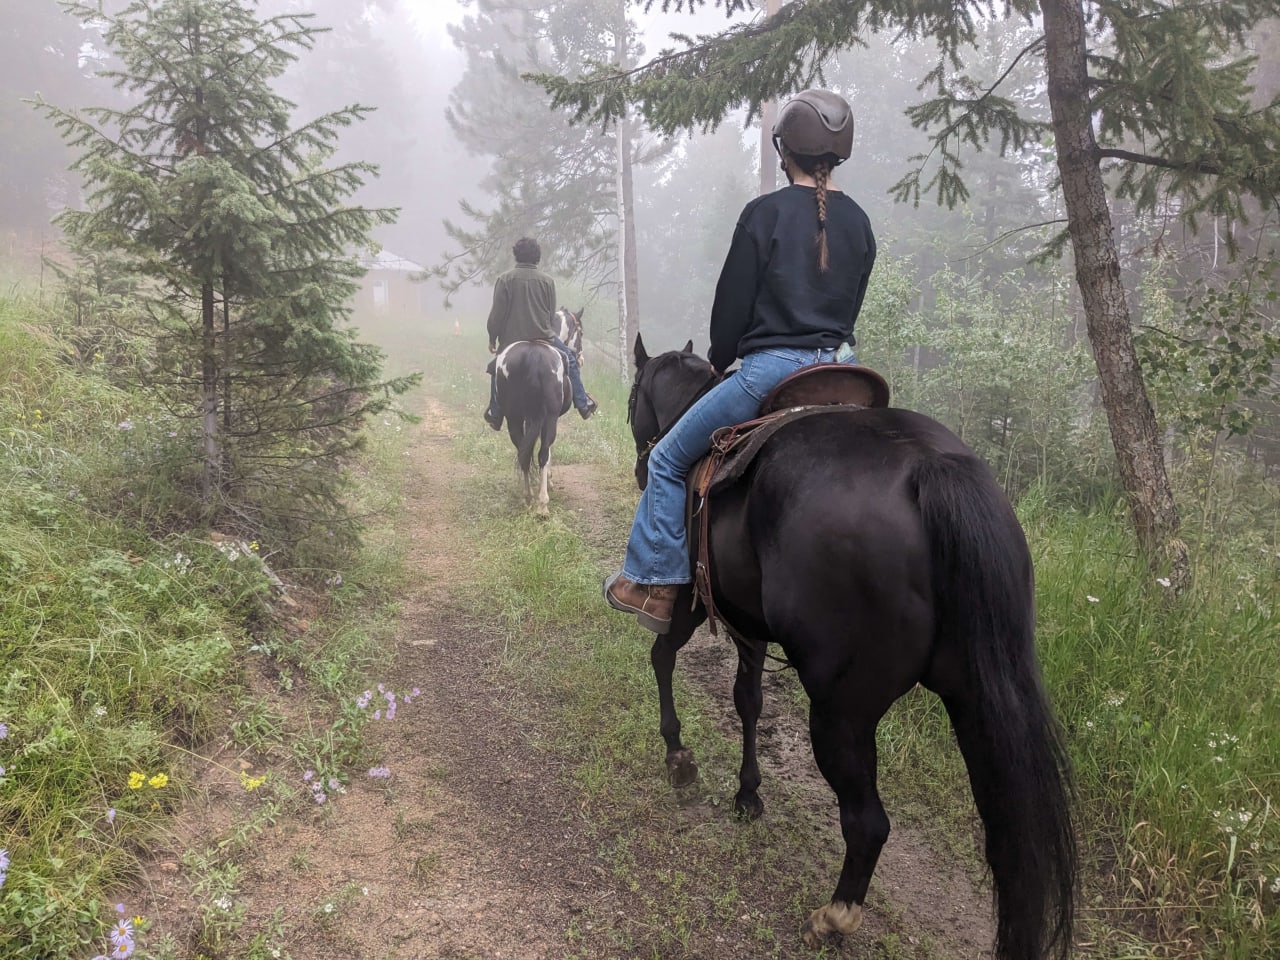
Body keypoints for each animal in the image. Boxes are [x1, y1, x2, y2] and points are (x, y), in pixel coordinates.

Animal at [491, 340, 568, 514]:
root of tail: (534, 356)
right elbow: (549, 451)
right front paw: (549, 481)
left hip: (513, 419)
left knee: (523, 454)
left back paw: (528, 496)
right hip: (550, 418)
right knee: (543, 455)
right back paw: (542, 503)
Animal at [624, 343, 1075, 960]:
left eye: (632, 398)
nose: (642, 466)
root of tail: (931, 469)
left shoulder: (692, 600)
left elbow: (663, 657)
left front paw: (678, 756)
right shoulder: (749, 623)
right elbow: (748, 701)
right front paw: (748, 794)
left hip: (841, 710)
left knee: (868, 822)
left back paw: (834, 916)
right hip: (976, 698)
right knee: (1007, 839)